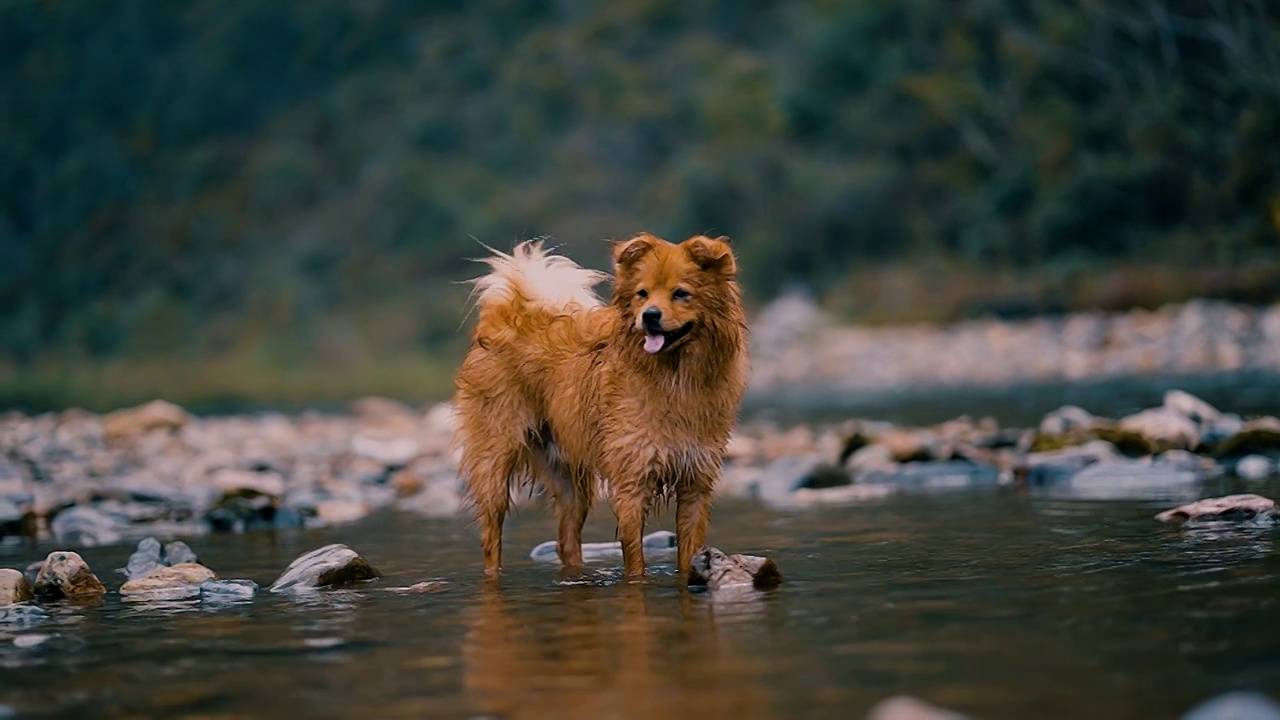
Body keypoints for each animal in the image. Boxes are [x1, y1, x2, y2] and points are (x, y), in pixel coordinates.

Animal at [453, 234, 747, 576]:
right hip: (494, 466)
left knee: (566, 540)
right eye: (642, 294)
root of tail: (509, 311)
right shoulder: (632, 482)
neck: (674, 375)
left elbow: (688, 553)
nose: (649, 316)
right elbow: (635, 558)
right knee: (491, 537)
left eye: (681, 293)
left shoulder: (695, 483)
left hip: (570, 483)